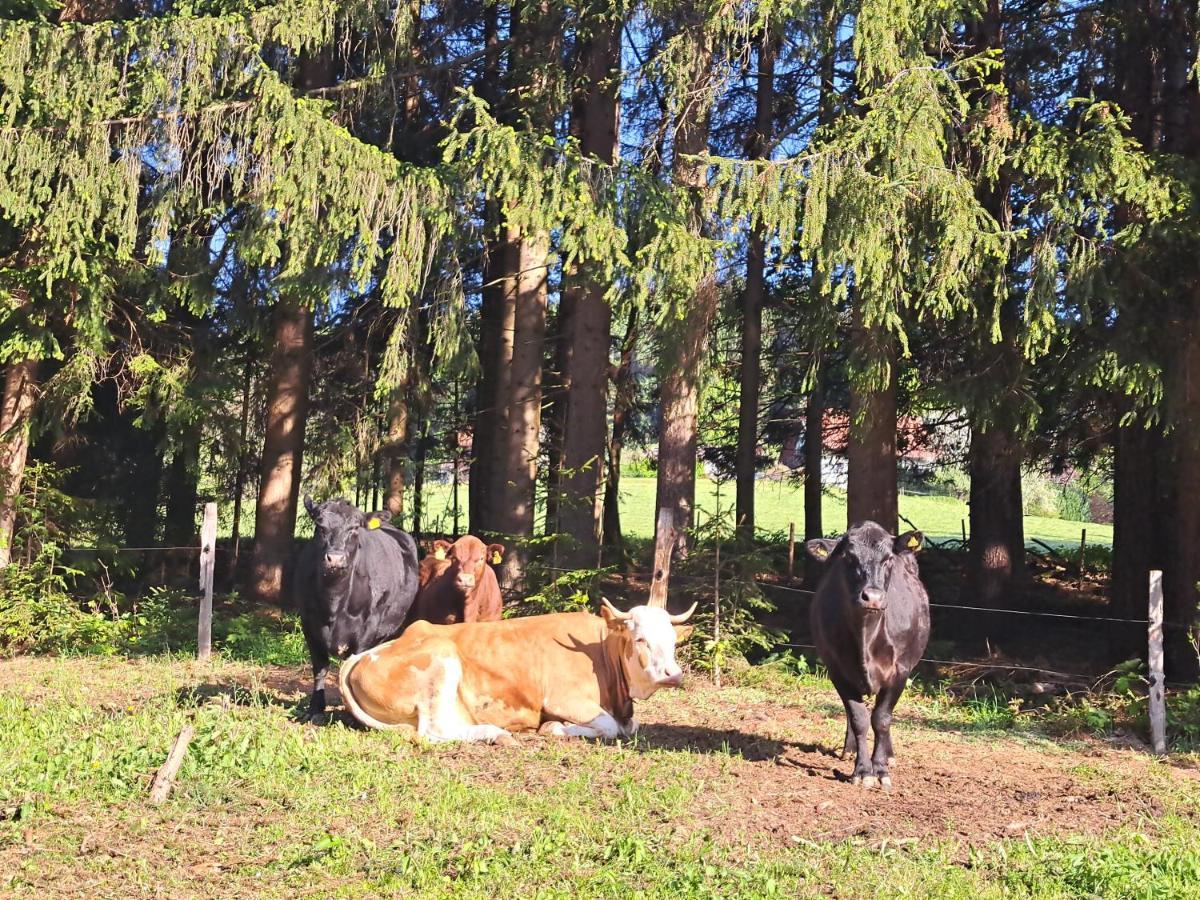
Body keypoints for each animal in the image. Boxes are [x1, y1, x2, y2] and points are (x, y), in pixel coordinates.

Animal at [292, 496, 420, 724]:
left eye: (354, 529)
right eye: (320, 526)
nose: (335, 558)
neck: (333, 603)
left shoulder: (368, 628)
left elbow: (353, 668)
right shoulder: (309, 623)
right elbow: (320, 668)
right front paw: (315, 709)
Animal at [338, 602, 696, 744]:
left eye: (673, 640)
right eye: (640, 639)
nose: (672, 674)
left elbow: (630, 726)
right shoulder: (564, 699)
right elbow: (610, 727)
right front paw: (553, 727)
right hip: (441, 658)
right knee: (432, 731)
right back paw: (495, 733)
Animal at [806, 520, 926, 787]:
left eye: (889, 558)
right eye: (848, 557)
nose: (873, 597)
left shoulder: (900, 671)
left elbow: (882, 719)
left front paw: (880, 769)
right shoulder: (837, 670)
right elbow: (858, 718)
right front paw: (862, 770)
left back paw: (889, 755)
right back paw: (849, 750)